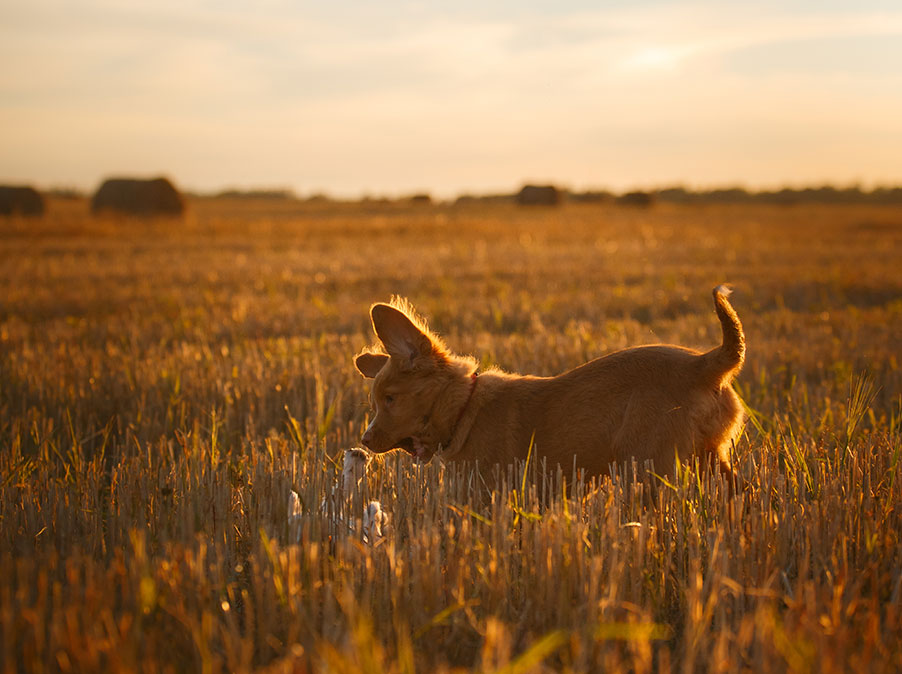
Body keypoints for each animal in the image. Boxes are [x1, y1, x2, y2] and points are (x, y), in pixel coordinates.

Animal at [356, 284, 744, 478]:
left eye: (390, 399)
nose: (364, 440)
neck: (465, 409)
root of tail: (704, 363)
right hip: (712, 458)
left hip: (649, 465)